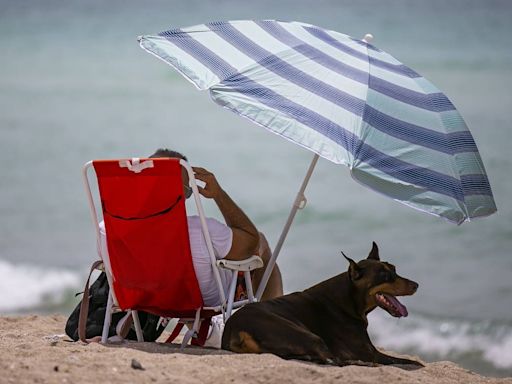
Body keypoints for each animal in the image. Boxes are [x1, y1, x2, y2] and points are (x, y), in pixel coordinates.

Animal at [222, 242, 422, 368]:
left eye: (394, 269)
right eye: (384, 275)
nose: (416, 285)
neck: (349, 299)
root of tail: (235, 329)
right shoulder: (370, 352)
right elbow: (409, 361)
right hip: (306, 335)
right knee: (335, 361)